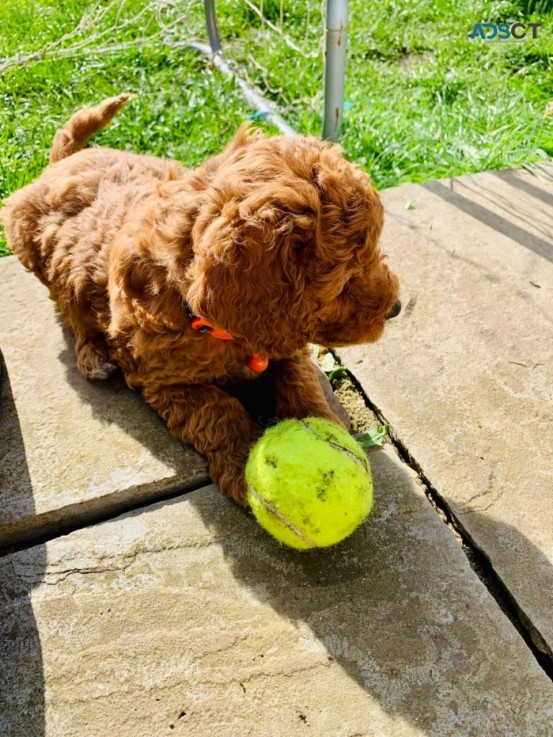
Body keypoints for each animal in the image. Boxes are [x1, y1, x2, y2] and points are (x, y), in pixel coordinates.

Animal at [0, 95, 398, 504]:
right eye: (345, 281)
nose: (396, 308)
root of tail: (60, 163)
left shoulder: (286, 344)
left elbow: (300, 384)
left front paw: (327, 432)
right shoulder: (165, 381)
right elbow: (218, 410)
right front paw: (244, 465)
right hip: (29, 250)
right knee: (68, 308)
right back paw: (93, 353)